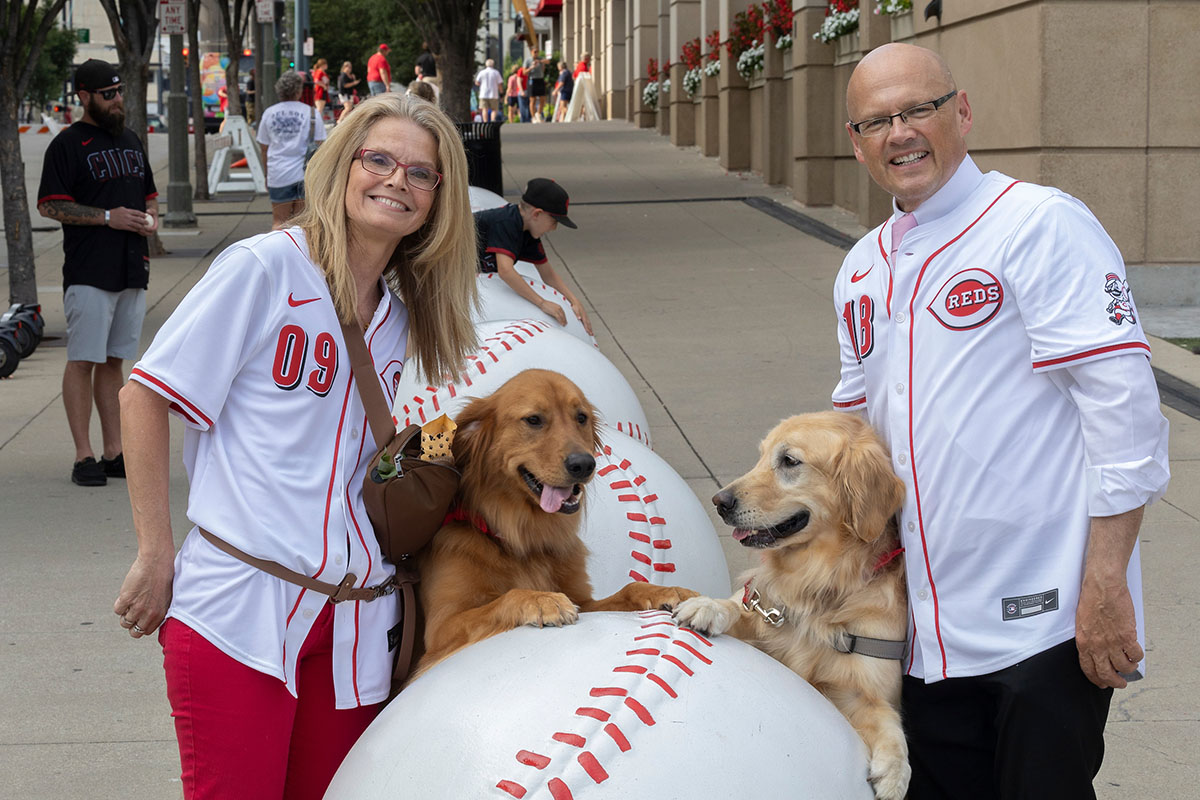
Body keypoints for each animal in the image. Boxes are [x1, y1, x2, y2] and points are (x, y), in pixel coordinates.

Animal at [412, 367, 696, 676]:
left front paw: (666, 590)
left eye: (581, 417)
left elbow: (628, 589)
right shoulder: (441, 631)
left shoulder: (585, 603)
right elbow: (508, 596)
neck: (522, 540)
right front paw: (541, 599)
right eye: (534, 420)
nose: (584, 464)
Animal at [676, 412, 907, 800]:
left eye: (789, 461)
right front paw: (708, 608)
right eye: (760, 456)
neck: (819, 584)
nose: (720, 501)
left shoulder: (858, 689)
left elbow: (889, 720)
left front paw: (895, 771)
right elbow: (738, 607)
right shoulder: (761, 611)